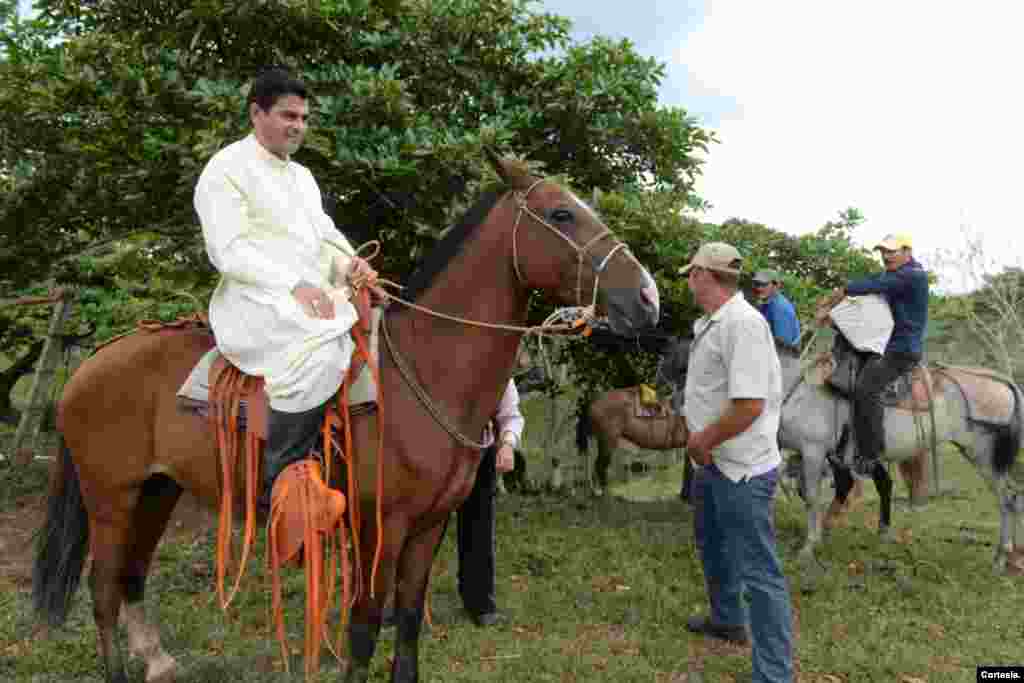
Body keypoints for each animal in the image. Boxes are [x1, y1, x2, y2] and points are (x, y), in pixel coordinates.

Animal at [34, 157, 663, 679]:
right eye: (561, 213)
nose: (648, 298)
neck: (424, 370)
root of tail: (93, 361)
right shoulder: (378, 530)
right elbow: (364, 633)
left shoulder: (428, 528)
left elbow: (407, 624)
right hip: (111, 496)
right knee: (102, 587)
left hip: (156, 491)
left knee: (130, 576)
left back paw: (159, 662)